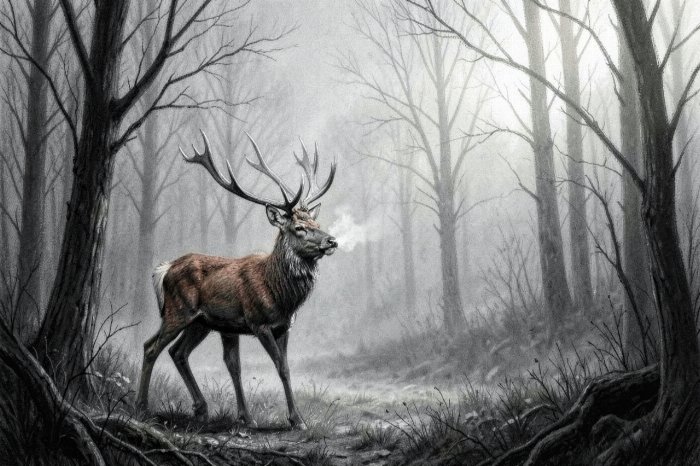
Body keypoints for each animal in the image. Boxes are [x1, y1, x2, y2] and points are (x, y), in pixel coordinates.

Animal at [135, 131, 337, 429]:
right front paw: (297, 420)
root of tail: (164, 269)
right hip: (177, 311)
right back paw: (141, 407)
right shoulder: (258, 322)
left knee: (177, 352)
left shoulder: (278, 327)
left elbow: (258, 367)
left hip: (201, 322)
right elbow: (279, 367)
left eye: (317, 223)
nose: (331, 240)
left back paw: (201, 408)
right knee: (151, 347)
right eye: (299, 228)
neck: (279, 293)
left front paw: (248, 417)